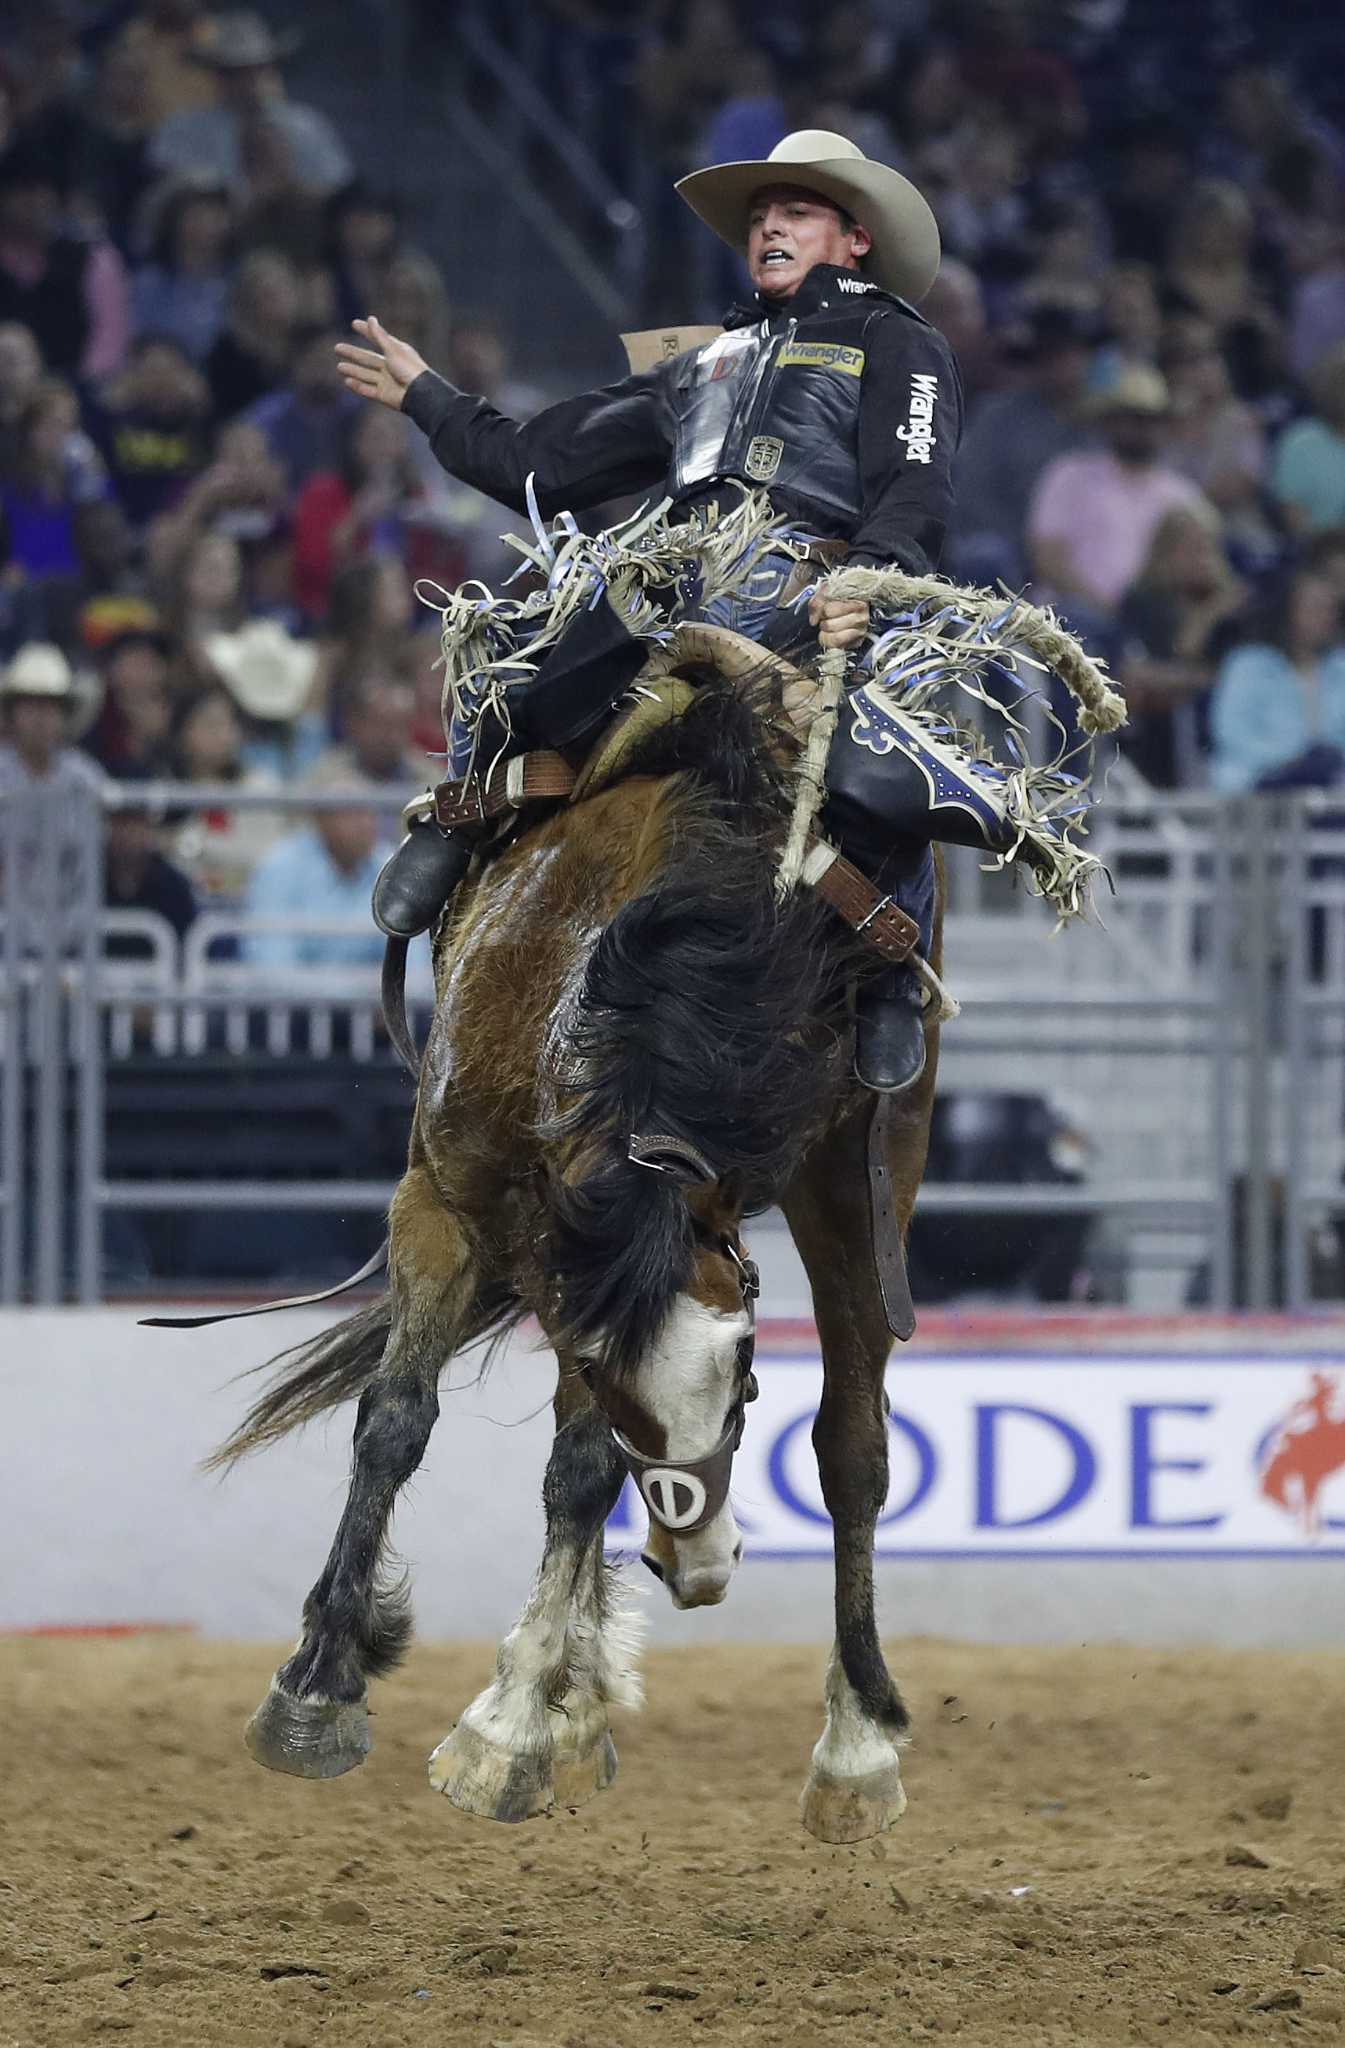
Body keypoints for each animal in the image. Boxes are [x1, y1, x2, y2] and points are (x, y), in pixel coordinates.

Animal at [218, 655, 933, 1843]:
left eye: (746, 1371)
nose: (699, 1566)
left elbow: (583, 1469)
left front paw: (506, 1725)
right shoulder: (450, 1200)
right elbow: (397, 1419)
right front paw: (320, 1685)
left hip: (866, 1175)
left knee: (851, 1448)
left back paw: (853, 1744)